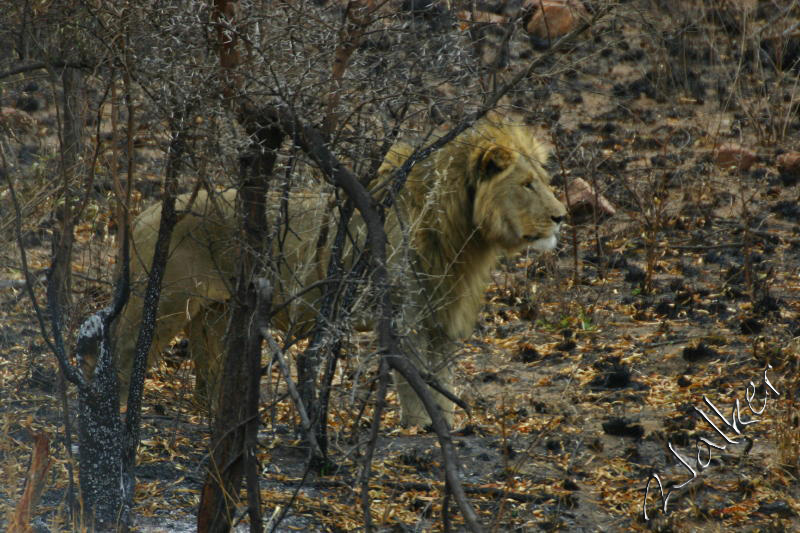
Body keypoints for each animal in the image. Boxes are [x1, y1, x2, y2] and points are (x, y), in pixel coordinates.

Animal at [114, 118, 568, 426]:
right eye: (526, 184)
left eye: (544, 180)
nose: (562, 217)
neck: (461, 235)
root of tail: (145, 214)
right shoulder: (404, 316)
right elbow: (416, 384)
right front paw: (421, 429)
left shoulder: (440, 315)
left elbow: (442, 380)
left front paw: (447, 427)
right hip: (163, 303)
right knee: (120, 353)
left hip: (216, 313)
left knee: (206, 371)